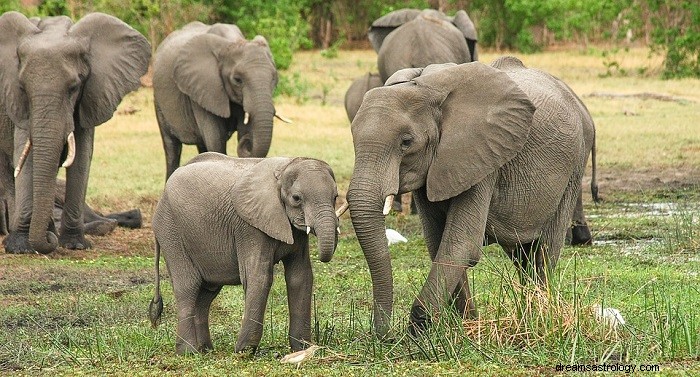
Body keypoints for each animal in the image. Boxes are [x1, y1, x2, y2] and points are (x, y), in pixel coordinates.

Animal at [0, 12, 152, 253]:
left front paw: (75, 245)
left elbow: (81, 158)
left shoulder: (91, 95)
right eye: (22, 88)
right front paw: (20, 247)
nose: (48, 241)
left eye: (74, 88)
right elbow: (26, 156)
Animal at [149, 152, 346, 352]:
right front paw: (244, 351)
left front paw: (302, 348)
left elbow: (300, 276)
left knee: (206, 294)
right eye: (296, 198)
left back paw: (205, 350)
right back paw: (188, 352)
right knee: (188, 287)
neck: (283, 169)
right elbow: (259, 277)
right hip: (170, 231)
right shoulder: (249, 227)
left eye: (335, 196)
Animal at [154, 20, 290, 181]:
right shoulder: (203, 88)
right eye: (237, 80)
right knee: (172, 148)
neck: (232, 42)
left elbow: (242, 130)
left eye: (274, 78)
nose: (247, 142)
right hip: (159, 101)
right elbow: (215, 139)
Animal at [344, 58, 592, 334]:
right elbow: (438, 242)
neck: (425, 88)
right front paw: (467, 325)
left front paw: (420, 329)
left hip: (574, 166)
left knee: (544, 250)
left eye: (406, 142)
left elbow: (461, 244)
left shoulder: (482, 156)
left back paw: (539, 315)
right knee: (522, 254)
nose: (384, 336)